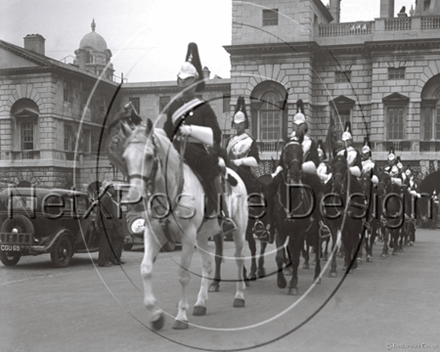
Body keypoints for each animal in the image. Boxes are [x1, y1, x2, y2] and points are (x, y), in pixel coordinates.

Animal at [108, 119, 249, 332]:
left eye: (149, 156)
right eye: (125, 157)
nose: (134, 200)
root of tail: (234, 173)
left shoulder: (187, 236)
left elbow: (183, 275)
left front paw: (181, 316)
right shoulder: (154, 234)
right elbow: (146, 269)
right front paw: (156, 315)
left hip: (239, 231)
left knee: (239, 259)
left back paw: (239, 296)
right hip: (203, 236)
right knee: (208, 264)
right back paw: (201, 303)